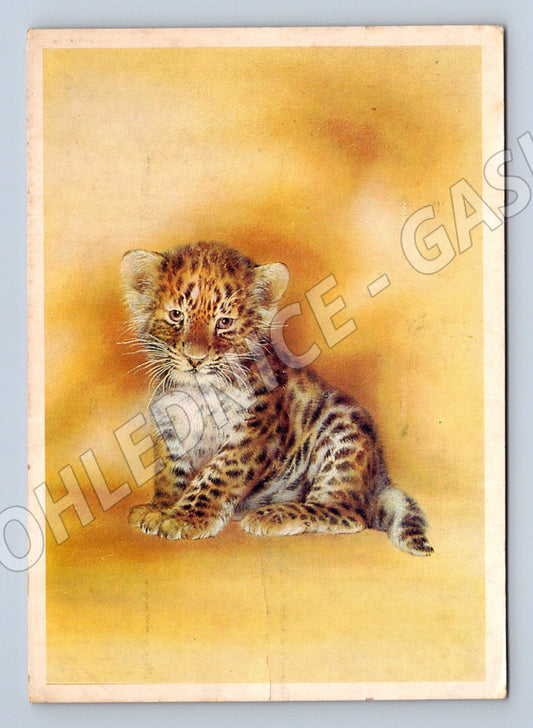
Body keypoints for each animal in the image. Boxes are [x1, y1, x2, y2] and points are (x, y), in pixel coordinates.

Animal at [121, 241, 433, 556]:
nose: (195, 359)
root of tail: (378, 483)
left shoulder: (255, 427)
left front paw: (185, 518)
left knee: (349, 514)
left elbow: (217, 474)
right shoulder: (170, 427)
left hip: (343, 433)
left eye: (224, 322)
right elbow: (171, 472)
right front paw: (160, 508)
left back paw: (272, 514)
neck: (197, 392)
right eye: (176, 315)